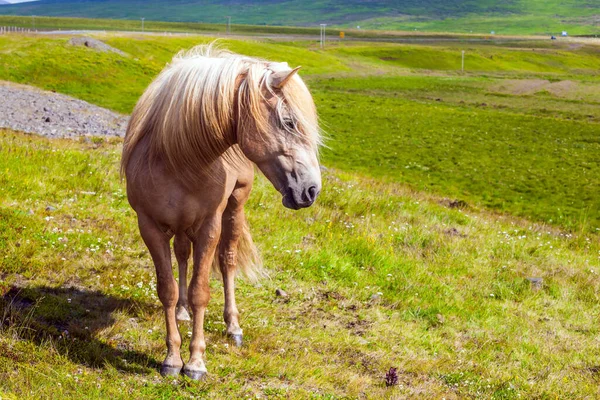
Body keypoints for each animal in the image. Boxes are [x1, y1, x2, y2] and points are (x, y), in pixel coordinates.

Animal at [119, 45, 322, 380]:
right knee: (183, 255)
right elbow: (167, 289)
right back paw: (183, 312)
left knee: (227, 261)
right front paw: (172, 359)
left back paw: (233, 327)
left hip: (234, 206)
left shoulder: (209, 226)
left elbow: (201, 291)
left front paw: (195, 363)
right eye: (289, 122)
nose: (311, 190)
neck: (177, 159)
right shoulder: (149, 227)